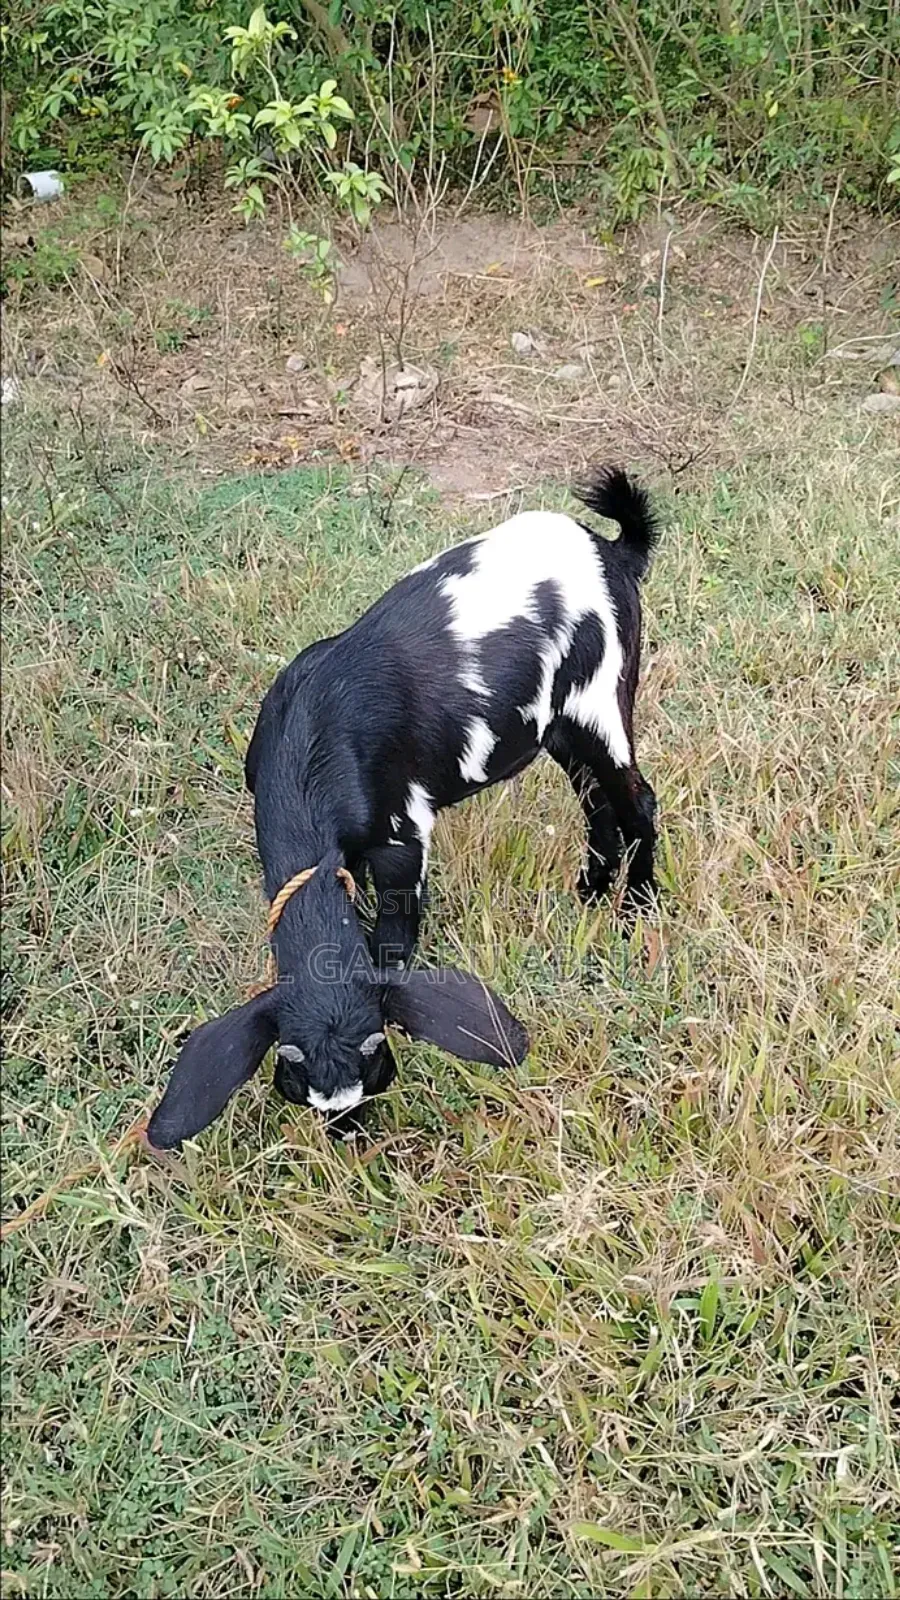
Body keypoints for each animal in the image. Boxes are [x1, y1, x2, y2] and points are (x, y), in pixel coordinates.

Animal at [146, 466, 660, 1148]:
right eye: (291, 1081)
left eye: (379, 1062)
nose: (349, 1134)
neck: (313, 743)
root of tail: (612, 551)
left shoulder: (401, 838)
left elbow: (392, 941)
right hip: (559, 727)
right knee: (597, 803)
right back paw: (590, 895)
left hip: (601, 697)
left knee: (636, 799)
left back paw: (636, 909)